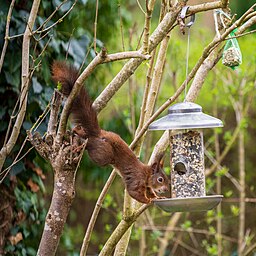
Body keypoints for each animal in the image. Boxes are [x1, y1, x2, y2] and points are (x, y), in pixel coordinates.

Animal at [51, 61, 170, 203]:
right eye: (160, 179)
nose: (166, 189)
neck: (146, 176)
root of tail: (99, 134)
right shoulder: (136, 180)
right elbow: (134, 193)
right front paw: (149, 201)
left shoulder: (147, 187)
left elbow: (150, 192)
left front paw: (158, 197)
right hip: (103, 154)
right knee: (91, 145)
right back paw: (80, 145)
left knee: (84, 134)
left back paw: (76, 130)